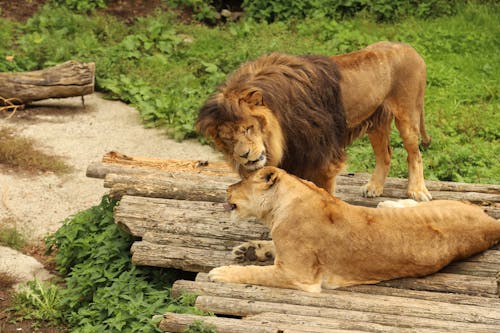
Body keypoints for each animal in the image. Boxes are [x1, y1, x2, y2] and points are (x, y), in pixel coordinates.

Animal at [197, 40, 432, 200]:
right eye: (228, 139)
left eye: (248, 128)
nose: (244, 156)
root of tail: (409, 47)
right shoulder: (296, 157)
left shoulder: (323, 159)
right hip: (375, 121)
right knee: (385, 154)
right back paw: (374, 187)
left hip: (408, 115)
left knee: (415, 154)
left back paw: (417, 190)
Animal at [209, 166, 500, 290]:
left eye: (241, 181)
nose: (227, 189)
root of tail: (491, 224)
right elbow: (270, 246)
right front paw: (247, 250)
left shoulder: (298, 276)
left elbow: (255, 274)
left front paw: (222, 272)